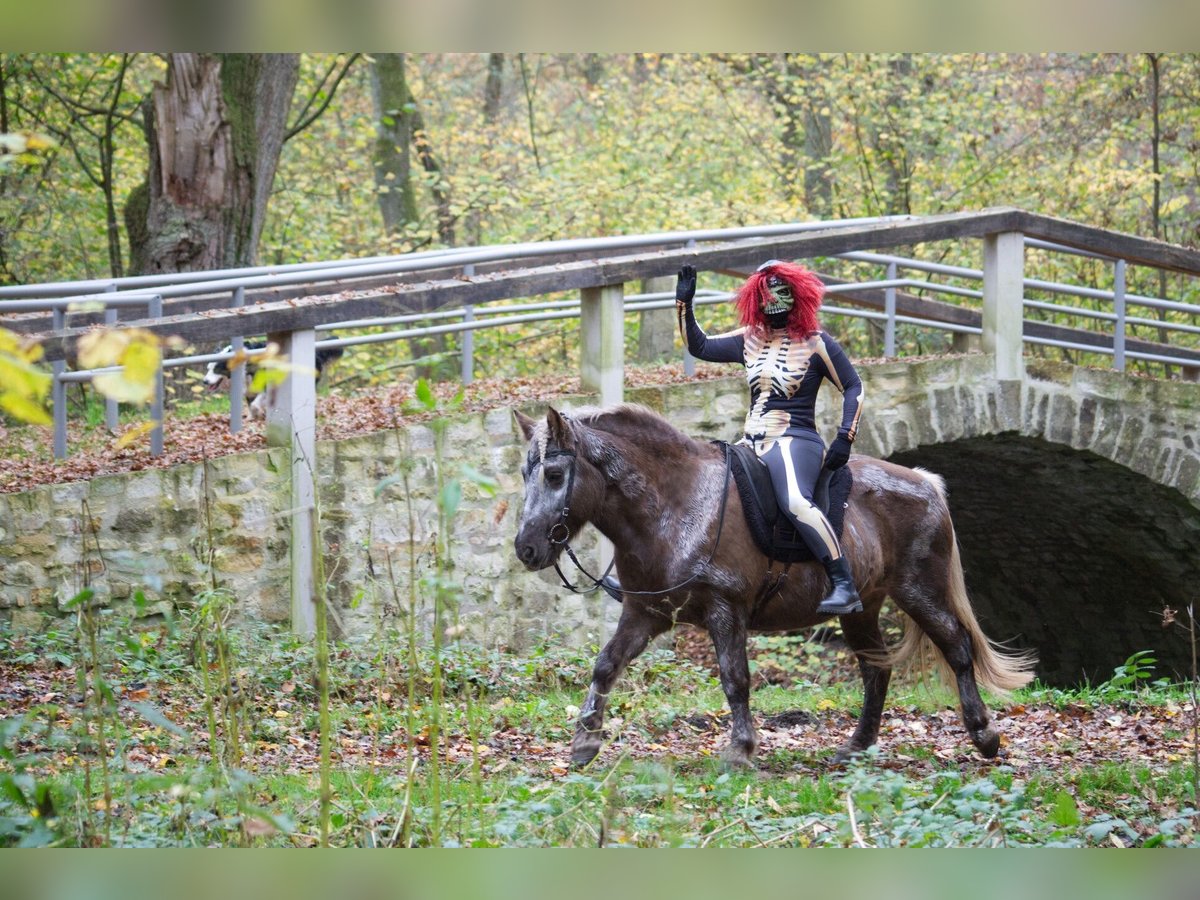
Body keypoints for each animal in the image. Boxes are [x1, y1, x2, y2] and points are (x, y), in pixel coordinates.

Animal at [204, 340, 345, 422]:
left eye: (217, 369)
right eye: (208, 368)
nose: (205, 381)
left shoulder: (265, 384)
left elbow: (255, 403)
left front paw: (258, 413)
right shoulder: (249, 388)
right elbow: (250, 403)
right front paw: (251, 417)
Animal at [511, 408, 1036, 768]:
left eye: (554, 475)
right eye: (524, 473)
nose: (526, 548)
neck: (675, 504)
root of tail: (927, 484)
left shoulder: (725, 611)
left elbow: (735, 680)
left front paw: (741, 751)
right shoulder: (646, 615)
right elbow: (605, 665)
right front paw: (585, 742)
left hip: (919, 591)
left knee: (957, 648)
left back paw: (985, 735)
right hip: (862, 609)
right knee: (876, 670)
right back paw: (858, 745)